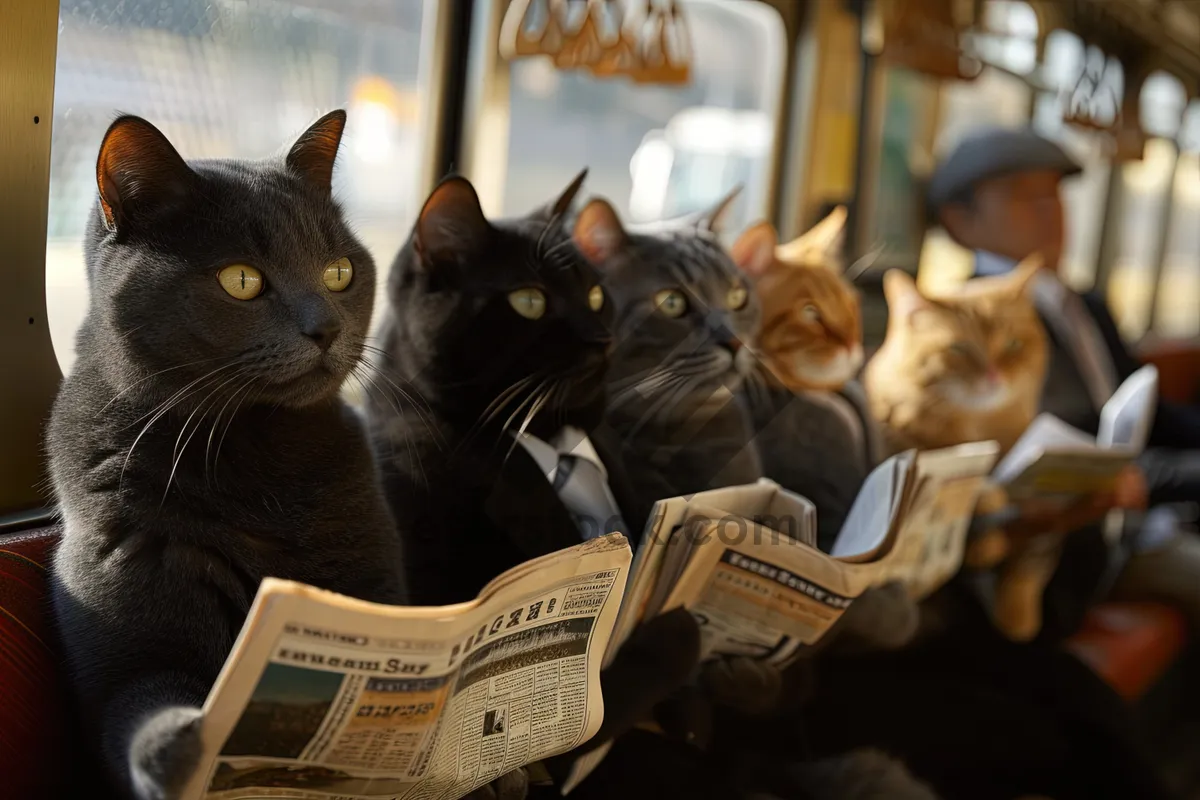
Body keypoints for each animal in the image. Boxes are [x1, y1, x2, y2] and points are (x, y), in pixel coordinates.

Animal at [50, 112, 408, 800]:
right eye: (242, 280)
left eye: (339, 272)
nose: (325, 328)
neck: (254, 449)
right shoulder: (129, 646)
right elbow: (137, 705)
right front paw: (191, 747)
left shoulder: (377, 588)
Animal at [868, 260, 1056, 642]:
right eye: (959, 350)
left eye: (1013, 344)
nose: (994, 375)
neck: (977, 429)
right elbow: (983, 499)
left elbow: (1031, 560)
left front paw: (1019, 616)